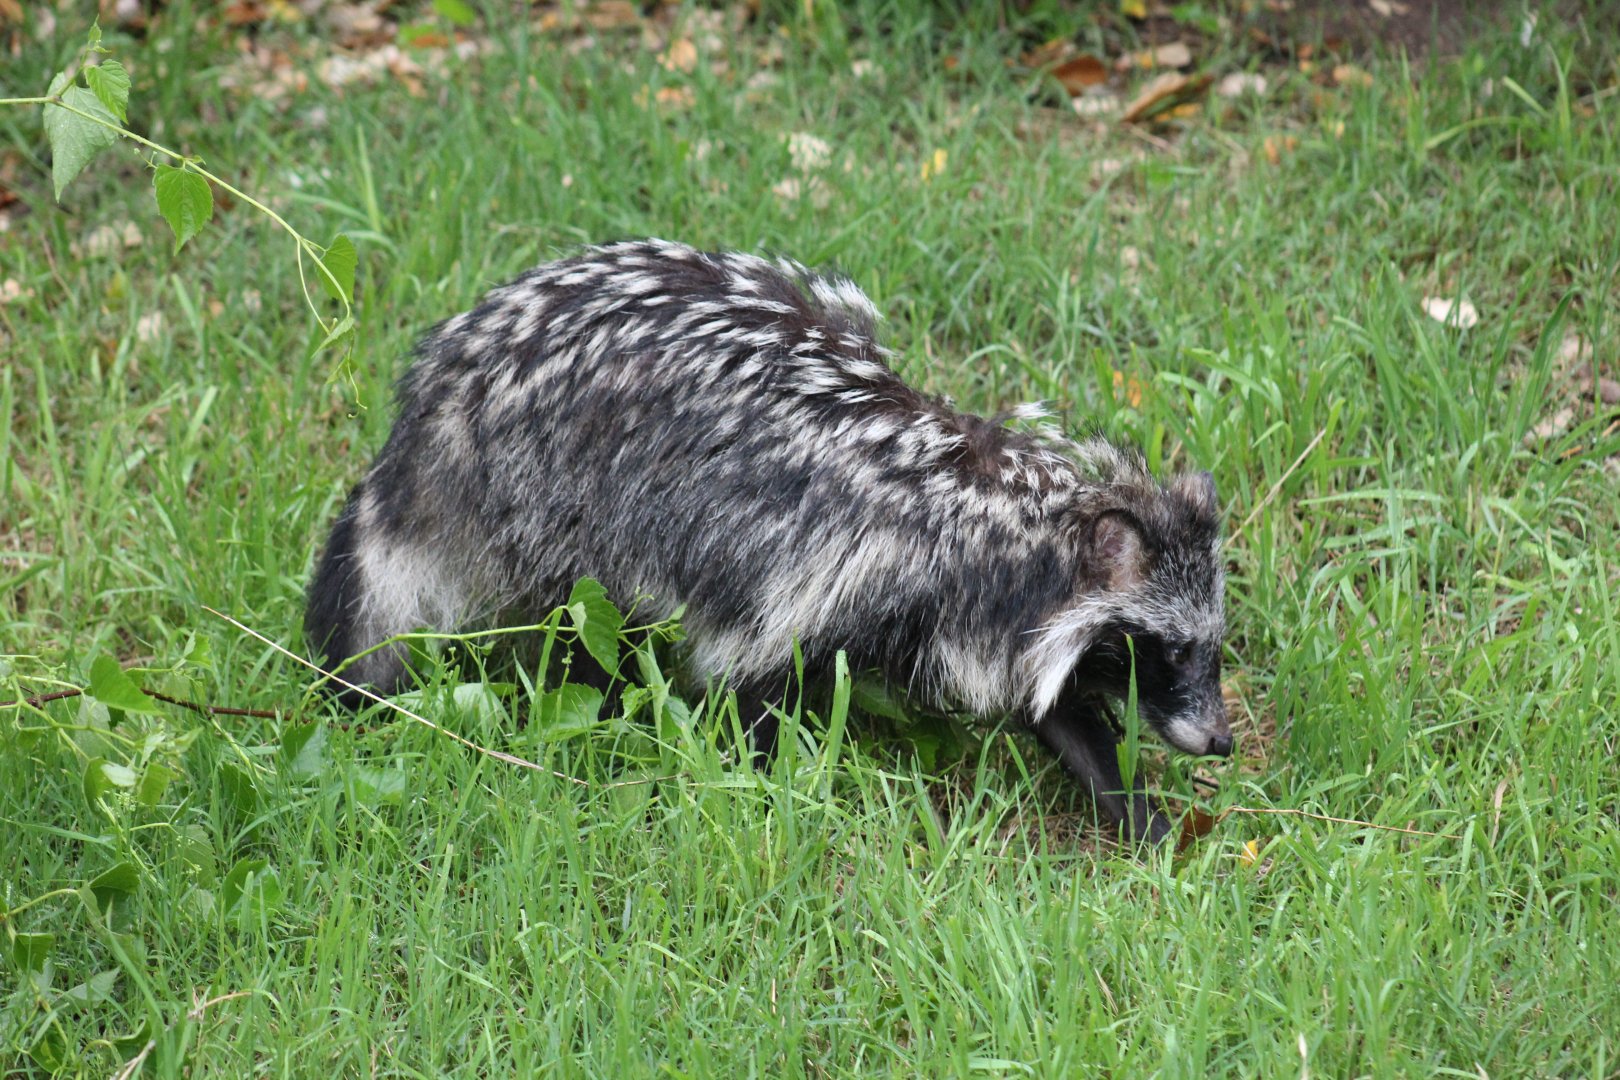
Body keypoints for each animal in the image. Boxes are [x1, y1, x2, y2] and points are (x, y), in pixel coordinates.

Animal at [306, 239, 1230, 842]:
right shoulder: (814, 571)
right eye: (1171, 651)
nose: (1219, 739)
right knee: (573, 625)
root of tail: (445, 380)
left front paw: (1133, 810)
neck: (980, 515)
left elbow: (1061, 714)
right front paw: (766, 789)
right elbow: (750, 689)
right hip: (547, 497)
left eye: (1209, 648)